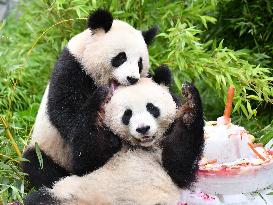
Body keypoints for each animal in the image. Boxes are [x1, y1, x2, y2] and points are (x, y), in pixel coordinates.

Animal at [21, 9, 158, 189]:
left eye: (140, 63)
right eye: (121, 57)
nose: (132, 78)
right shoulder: (72, 67)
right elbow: (67, 111)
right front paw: (96, 150)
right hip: (46, 148)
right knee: (37, 164)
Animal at [23, 72, 204, 205]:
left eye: (151, 108)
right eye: (127, 114)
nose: (143, 129)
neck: (139, 146)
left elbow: (178, 163)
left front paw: (190, 107)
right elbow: (84, 162)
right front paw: (98, 104)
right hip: (66, 193)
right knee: (38, 195)